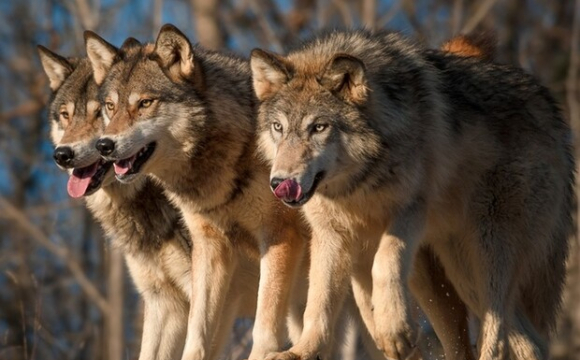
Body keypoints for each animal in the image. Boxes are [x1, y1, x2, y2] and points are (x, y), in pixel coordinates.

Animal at [251, 30, 572, 360]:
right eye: (278, 127)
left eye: (318, 127)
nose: (280, 183)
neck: (357, 186)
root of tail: (550, 109)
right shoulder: (330, 234)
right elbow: (319, 301)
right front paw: (302, 351)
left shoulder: (410, 210)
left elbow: (384, 262)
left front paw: (395, 332)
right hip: (460, 271)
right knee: (525, 340)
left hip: (488, 248)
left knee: (498, 332)